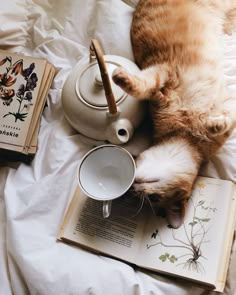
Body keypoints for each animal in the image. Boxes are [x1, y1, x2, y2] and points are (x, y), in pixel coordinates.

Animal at [111, 0, 236, 229]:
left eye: (153, 198)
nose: (134, 187)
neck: (184, 134)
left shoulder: (165, 73)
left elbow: (227, 120)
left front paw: (214, 124)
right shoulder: (162, 71)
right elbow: (146, 87)